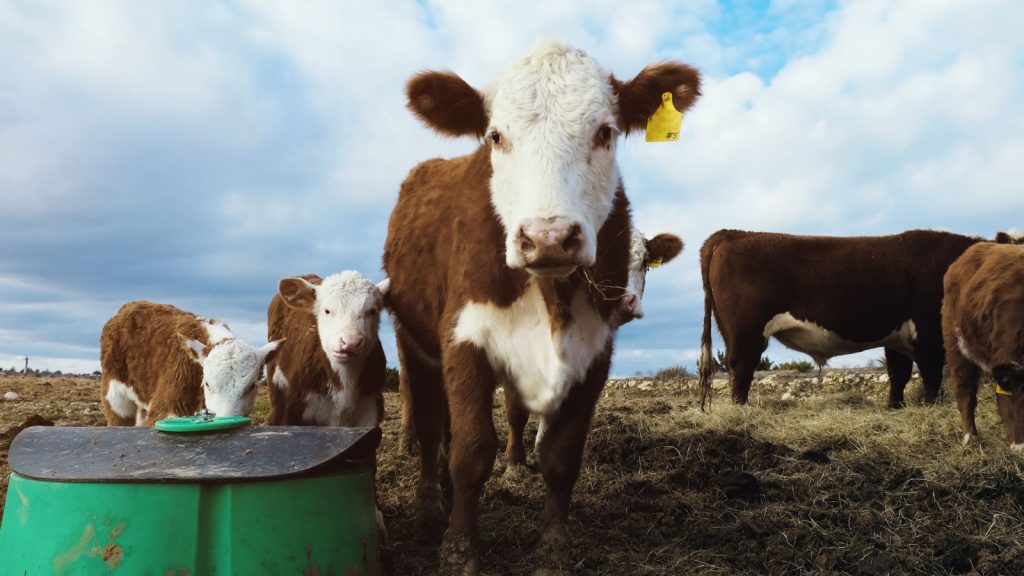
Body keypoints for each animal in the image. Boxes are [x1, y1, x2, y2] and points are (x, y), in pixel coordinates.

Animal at [383, 40, 700, 574]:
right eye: (495, 136)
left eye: (605, 131)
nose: (548, 237)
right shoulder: (463, 338)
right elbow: (471, 450)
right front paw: (460, 548)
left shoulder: (595, 353)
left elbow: (561, 455)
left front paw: (553, 547)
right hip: (414, 340)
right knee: (428, 423)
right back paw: (430, 504)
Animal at [697, 229, 1020, 409]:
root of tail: (733, 233)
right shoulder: (928, 332)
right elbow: (930, 374)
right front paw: (931, 407)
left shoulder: (898, 336)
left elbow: (899, 374)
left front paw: (895, 407)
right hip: (747, 331)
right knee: (741, 368)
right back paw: (741, 409)